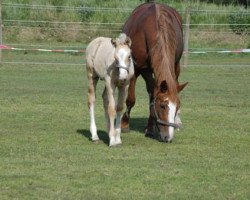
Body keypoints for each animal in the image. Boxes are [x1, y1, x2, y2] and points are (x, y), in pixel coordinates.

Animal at [121, 1, 188, 142]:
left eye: (178, 106)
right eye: (162, 105)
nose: (168, 137)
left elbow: (153, 95)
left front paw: (151, 128)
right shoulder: (137, 69)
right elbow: (131, 99)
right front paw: (124, 124)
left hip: (176, 66)